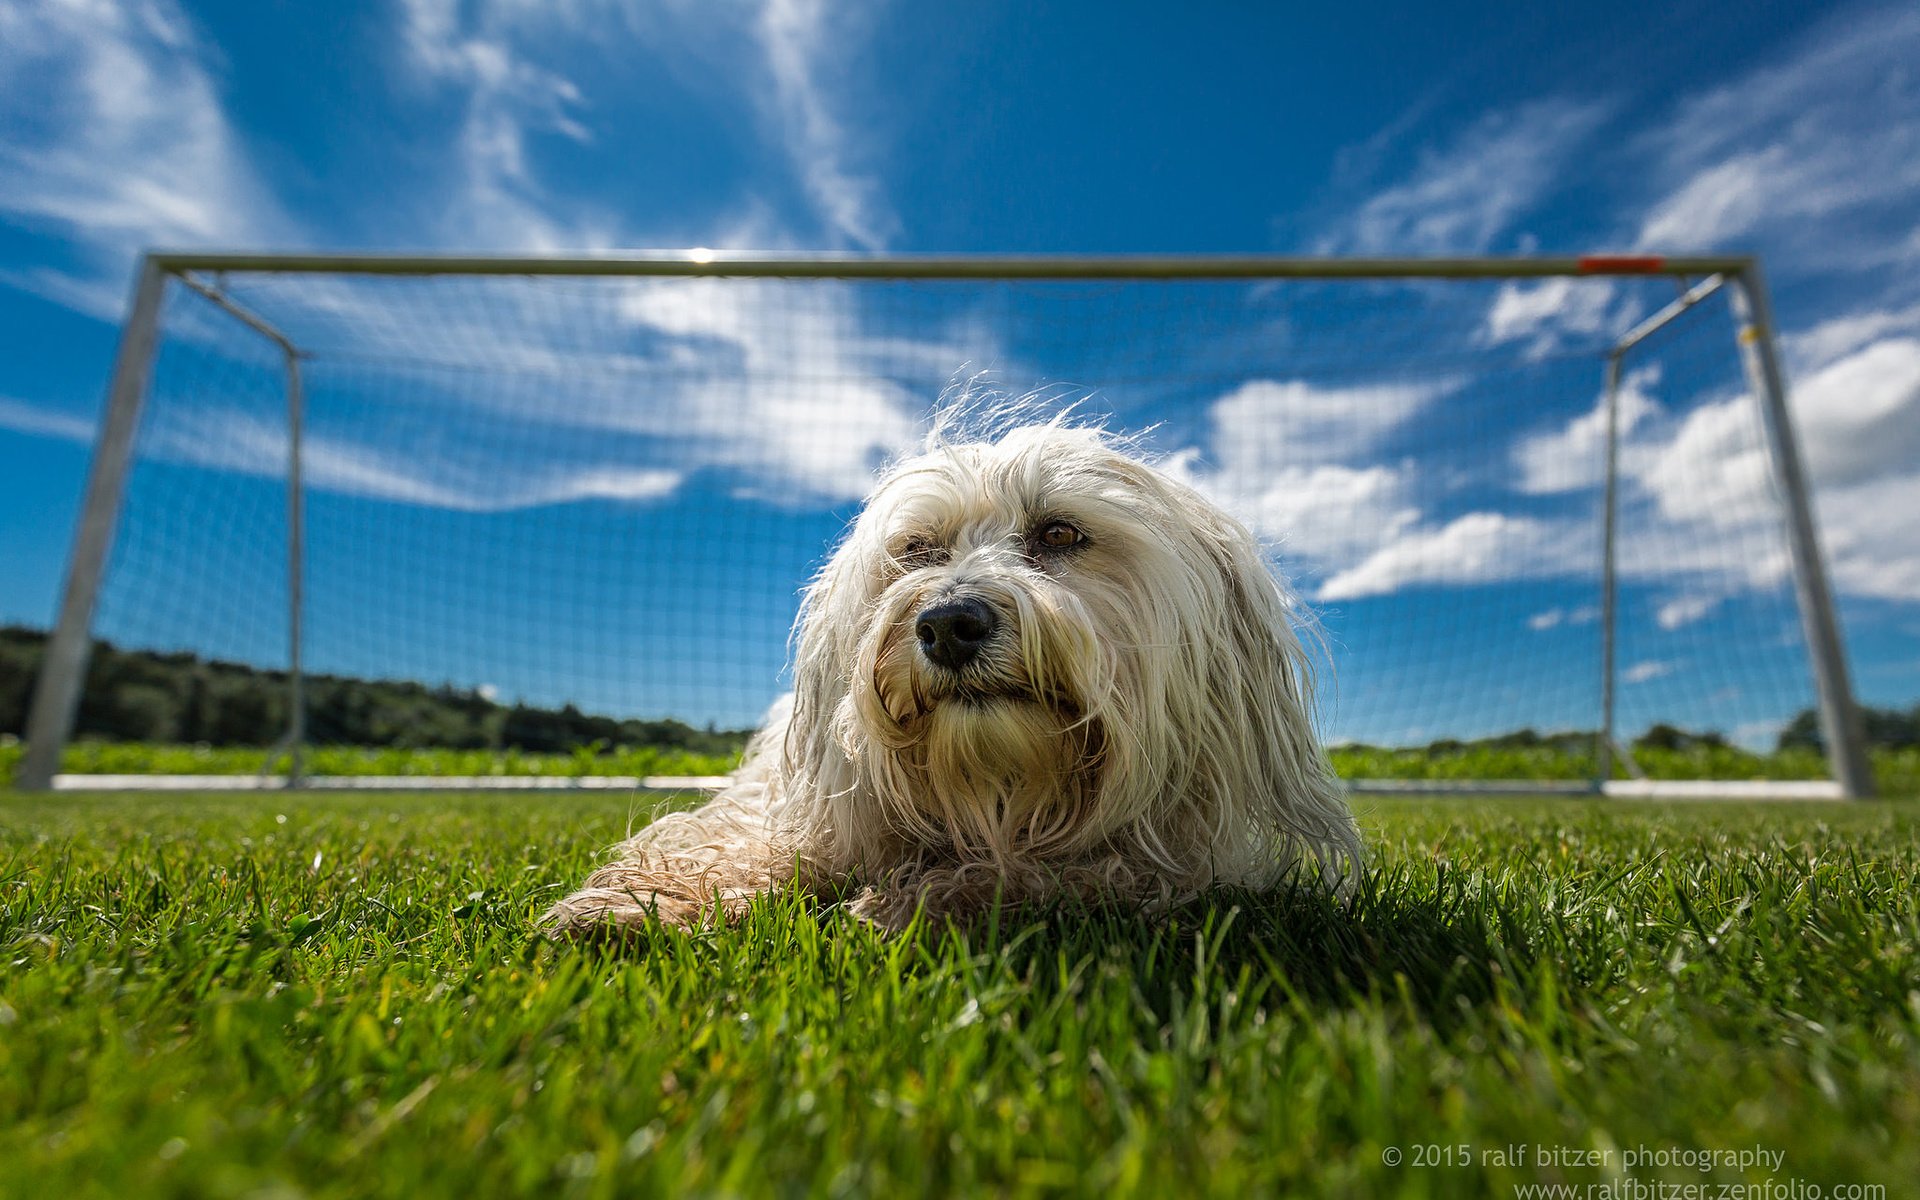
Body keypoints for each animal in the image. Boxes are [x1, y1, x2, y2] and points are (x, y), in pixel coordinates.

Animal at [549, 420, 1367, 936]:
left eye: (1059, 532)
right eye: (919, 549)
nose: (947, 624)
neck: (998, 790)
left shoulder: (1180, 855)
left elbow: (1090, 870)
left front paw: (933, 897)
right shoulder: (800, 804)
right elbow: (750, 840)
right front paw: (642, 904)